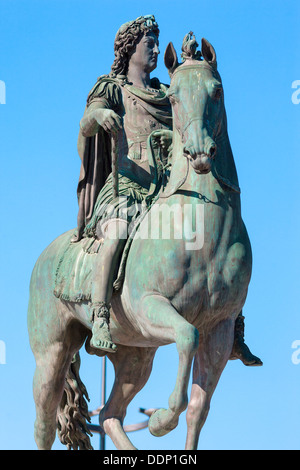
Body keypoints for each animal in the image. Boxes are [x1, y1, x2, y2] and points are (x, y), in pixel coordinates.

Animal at [28, 37, 253, 452]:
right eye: (175, 97)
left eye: (216, 91)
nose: (199, 154)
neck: (201, 228)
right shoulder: (152, 306)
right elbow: (187, 337)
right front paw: (161, 420)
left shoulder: (221, 327)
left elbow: (198, 409)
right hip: (51, 352)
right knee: (44, 424)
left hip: (135, 354)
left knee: (109, 414)